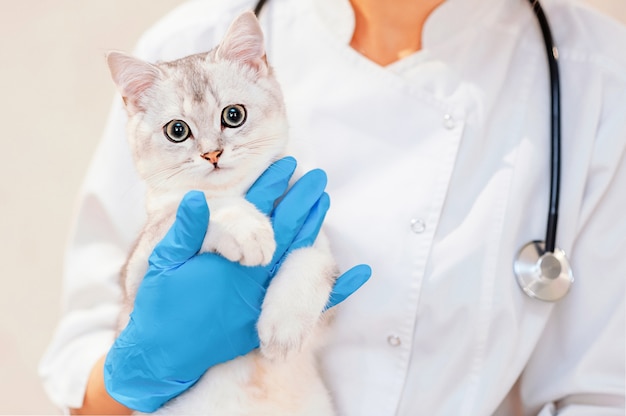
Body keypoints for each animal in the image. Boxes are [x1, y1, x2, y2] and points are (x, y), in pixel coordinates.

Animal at [105, 9, 336, 416]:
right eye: (177, 130)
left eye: (233, 115)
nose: (212, 153)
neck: (242, 190)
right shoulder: (138, 276)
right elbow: (196, 205)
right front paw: (248, 229)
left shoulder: (328, 302)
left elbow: (314, 261)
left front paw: (283, 326)